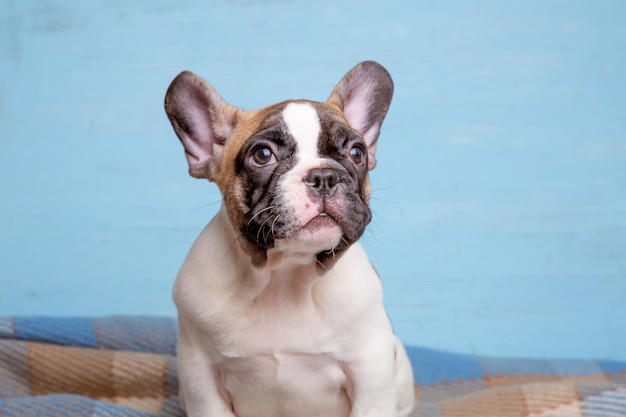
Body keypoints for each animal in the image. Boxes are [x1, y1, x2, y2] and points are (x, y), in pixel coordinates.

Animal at [165, 61, 414, 416]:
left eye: (356, 152)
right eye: (262, 155)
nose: (324, 176)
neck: (283, 277)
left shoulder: (371, 367)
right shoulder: (200, 372)